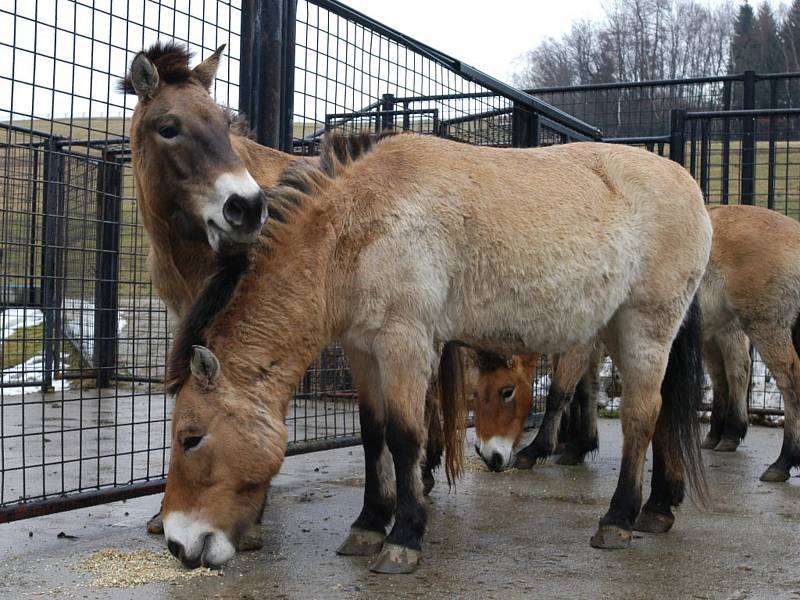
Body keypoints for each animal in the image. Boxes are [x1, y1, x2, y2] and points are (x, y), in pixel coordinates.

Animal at [159, 130, 708, 572]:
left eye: (191, 438)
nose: (177, 544)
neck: (355, 226)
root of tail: (692, 189)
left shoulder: (405, 341)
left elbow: (405, 436)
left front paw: (403, 538)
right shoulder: (364, 351)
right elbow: (373, 434)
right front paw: (368, 524)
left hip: (645, 326)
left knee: (640, 415)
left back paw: (619, 518)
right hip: (621, 330)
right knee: (661, 414)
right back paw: (659, 508)